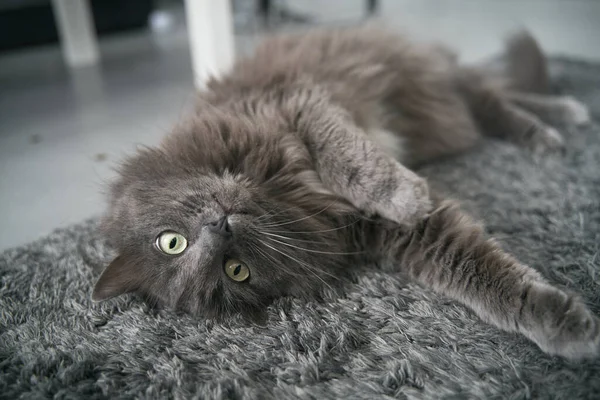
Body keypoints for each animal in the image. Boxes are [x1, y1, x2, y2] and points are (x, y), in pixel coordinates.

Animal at [91, 27, 596, 360]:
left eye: (170, 241)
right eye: (235, 271)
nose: (221, 227)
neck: (284, 192)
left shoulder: (297, 103)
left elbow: (348, 158)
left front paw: (405, 194)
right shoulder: (373, 229)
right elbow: (475, 271)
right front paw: (558, 323)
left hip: (430, 79)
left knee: (495, 98)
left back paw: (557, 123)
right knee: (488, 102)